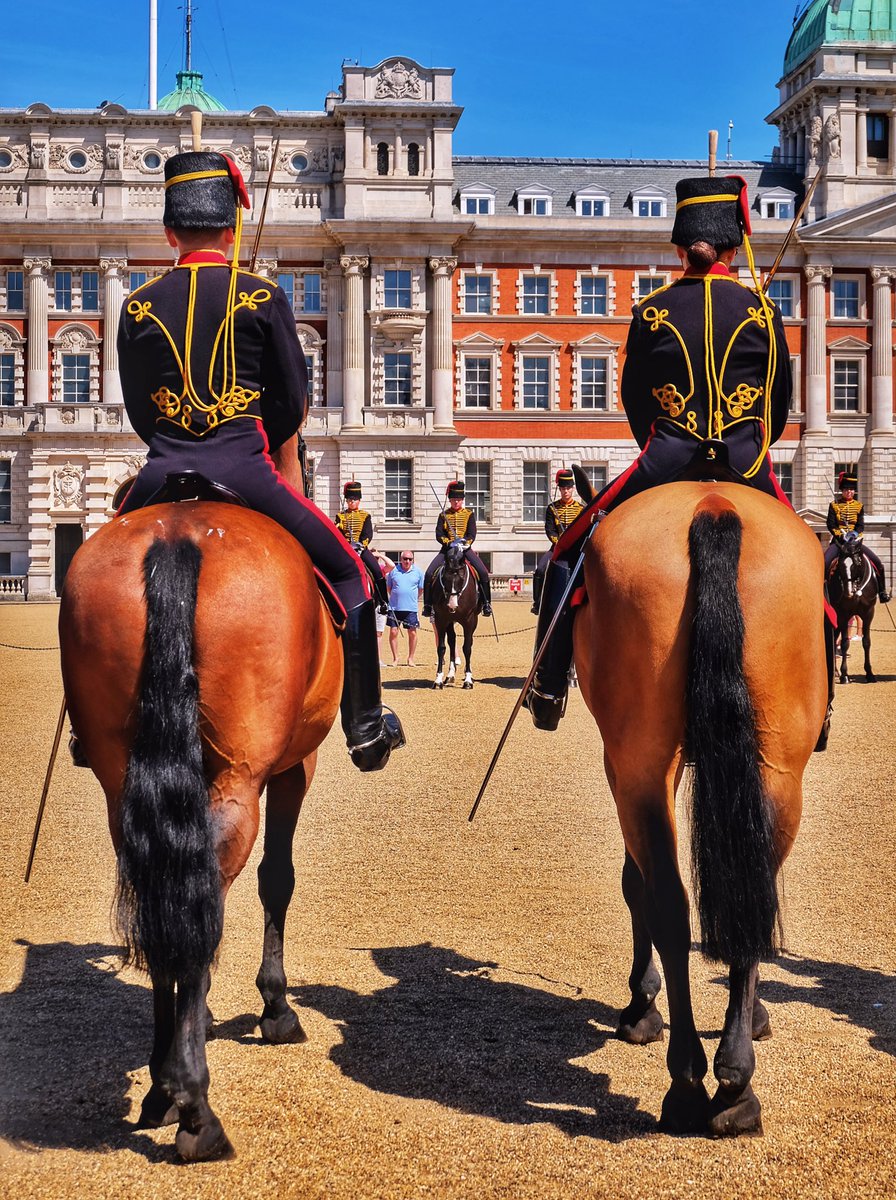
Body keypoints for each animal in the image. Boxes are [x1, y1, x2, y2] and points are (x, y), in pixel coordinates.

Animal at [56, 480, 343, 1161]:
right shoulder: (295, 767)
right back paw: (194, 1106)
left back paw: (163, 1088)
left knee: (161, 893)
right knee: (203, 891)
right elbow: (276, 880)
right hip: (241, 777)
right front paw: (275, 1006)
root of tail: (178, 534)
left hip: (121, 782)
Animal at [431, 540, 479, 691]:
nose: (452, 606)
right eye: (444, 577)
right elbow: (441, 648)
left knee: (467, 642)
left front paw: (468, 680)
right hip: (449, 621)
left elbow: (467, 648)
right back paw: (450, 674)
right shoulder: (441, 619)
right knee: (452, 641)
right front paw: (438, 679)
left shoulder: (469, 620)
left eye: (462, 578)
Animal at [575, 477, 825, 1132]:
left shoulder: (622, 767)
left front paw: (642, 999)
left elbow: (634, 882)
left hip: (642, 766)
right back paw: (734, 1083)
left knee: (667, 897)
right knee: (743, 895)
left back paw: (690, 1082)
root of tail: (714, 505)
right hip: (778, 770)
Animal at [825, 535, 878, 686]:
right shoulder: (843, 615)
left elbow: (866, 642)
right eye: (840, 564)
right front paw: (845, 675)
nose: (848, 592)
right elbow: (844, 643)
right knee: (834, 639)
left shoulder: (868, 613)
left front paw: (869, 673)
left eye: (858, 562)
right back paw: (836, 672)